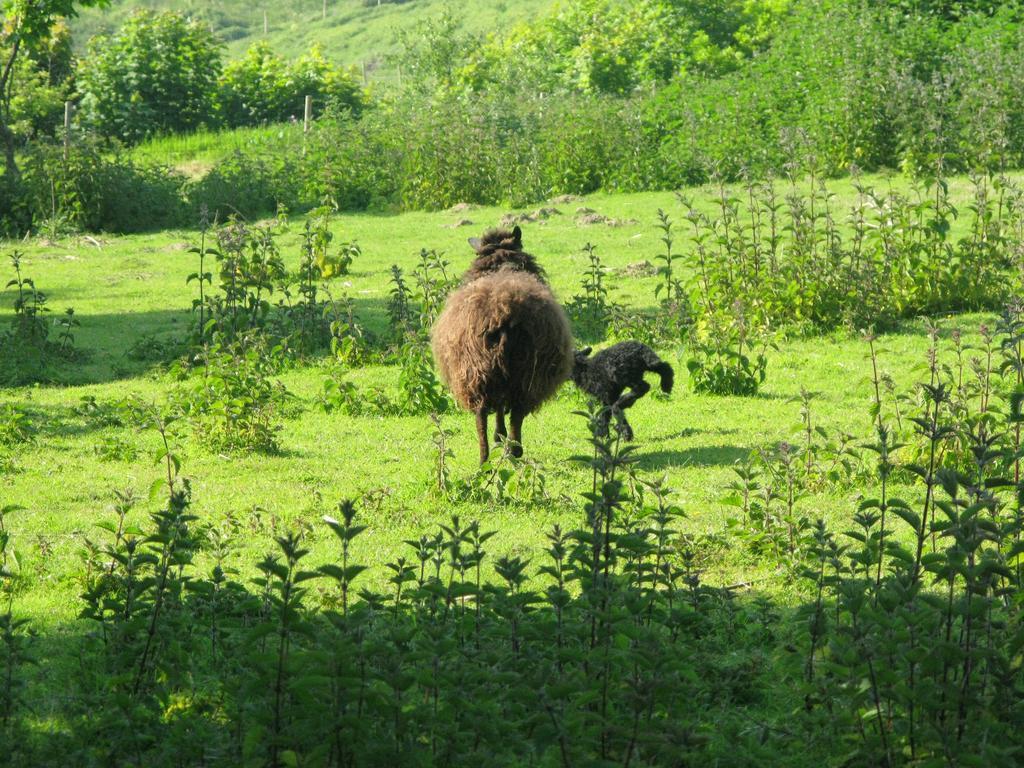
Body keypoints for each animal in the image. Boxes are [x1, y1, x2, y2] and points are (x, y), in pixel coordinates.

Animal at [432, 227, 577, 462]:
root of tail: (505, 312)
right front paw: (501, 437)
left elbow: (499, 407)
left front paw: (499, 436)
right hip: (522, 373)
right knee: (513, 413)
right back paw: (511, 450)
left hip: (480, 370)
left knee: (483, 413)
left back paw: (488, 458)